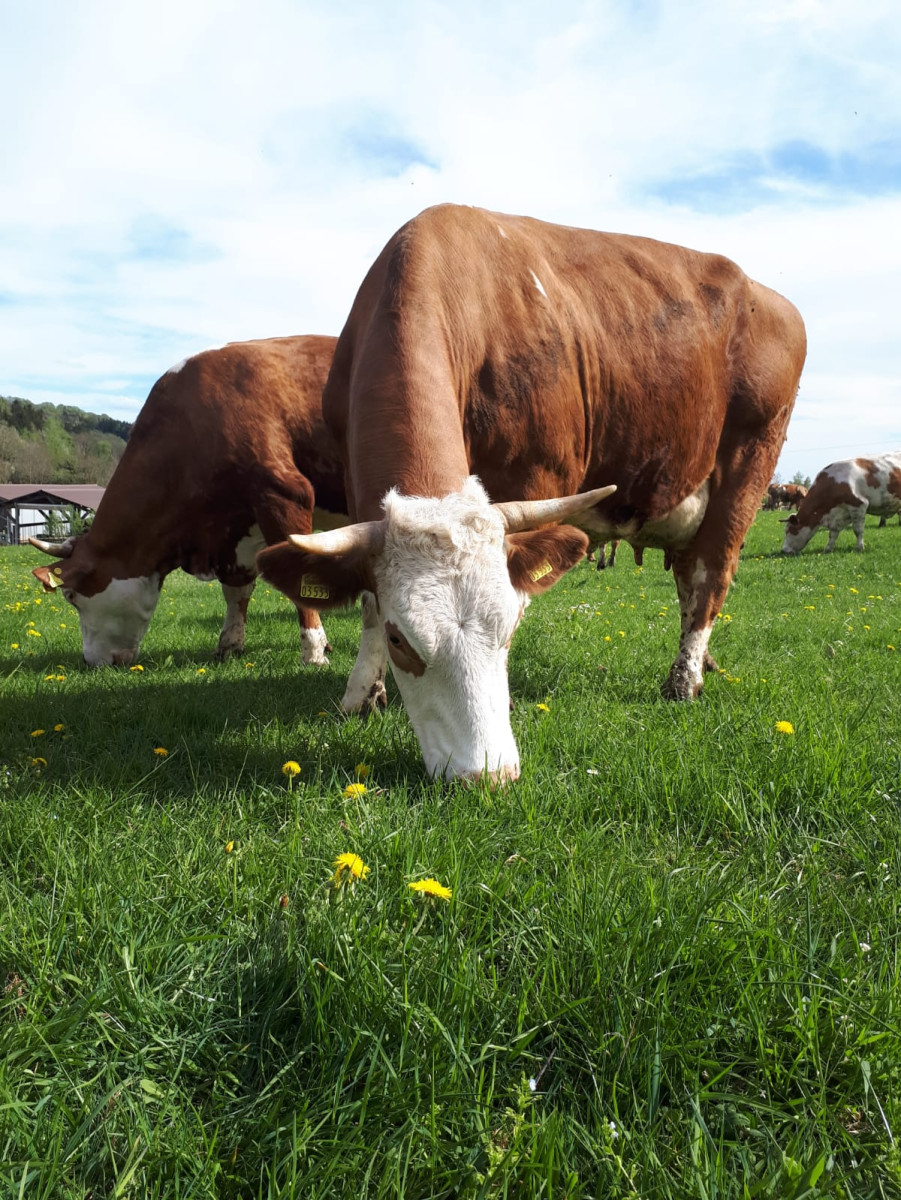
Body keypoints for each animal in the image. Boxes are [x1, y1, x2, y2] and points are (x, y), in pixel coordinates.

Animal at [29, 333, 345, 667]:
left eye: (72, 596)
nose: (89, 661)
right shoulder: (236, 530)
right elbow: (236, 591)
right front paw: (229, 645)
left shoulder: (284, 495)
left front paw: (314, 652)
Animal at [256, 204, 806, 787]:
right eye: (401, 638)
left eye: (510, 628)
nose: (487, 774)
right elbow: (364, 600)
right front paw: (363, 693)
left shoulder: (539, 474)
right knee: (689, 576)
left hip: (747, 468)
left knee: (709, 575)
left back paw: (684, 679)